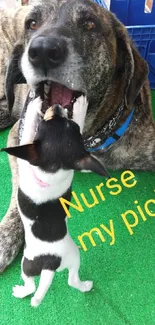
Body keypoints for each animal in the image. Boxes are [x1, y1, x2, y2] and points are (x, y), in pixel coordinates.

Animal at [1, 95, 108, 306]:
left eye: (46, 123)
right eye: (71, 125)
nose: (57, 107)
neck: (51, 170)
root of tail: (50, 263)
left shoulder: (26, 149)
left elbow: (27, 130)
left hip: (27, 265)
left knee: (32, 286)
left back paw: (22, 292)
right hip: (72, 258)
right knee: (72, 279)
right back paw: (85, 286)